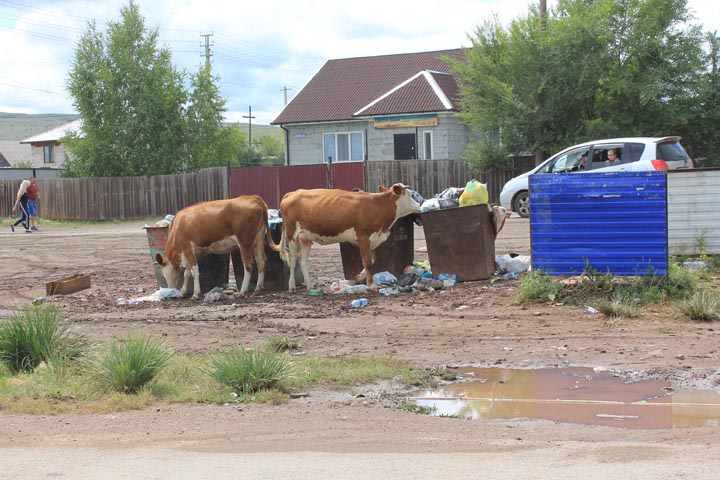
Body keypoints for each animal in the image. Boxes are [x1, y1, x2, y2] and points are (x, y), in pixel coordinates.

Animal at [276, 183, 422, 290]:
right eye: (410, 195)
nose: (419, 206)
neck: (378, 206)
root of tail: (293, 193)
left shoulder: (373, 239)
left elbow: (372, 260)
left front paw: (359, 277)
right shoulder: (363, 238)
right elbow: (368, 262)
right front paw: (371, 285)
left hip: (306, 238)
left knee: (303, 260)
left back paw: (310, 285)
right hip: (292, 234)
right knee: (293, 259)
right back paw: (292, 286)